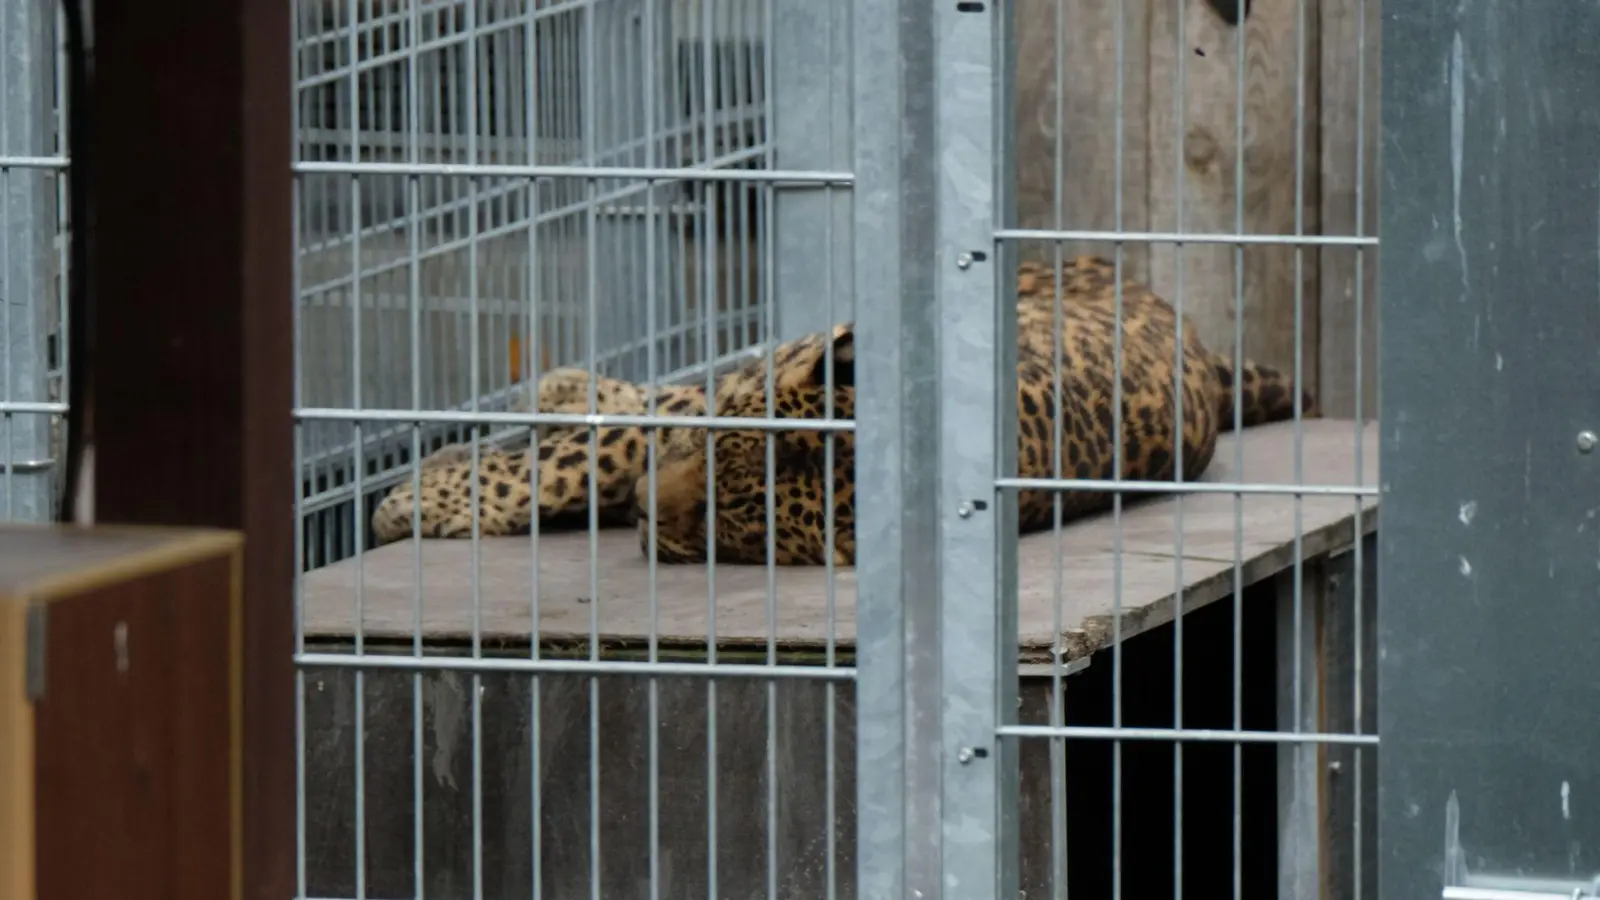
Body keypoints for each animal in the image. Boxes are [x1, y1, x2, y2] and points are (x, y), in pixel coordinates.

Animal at [371, 253, 1312, 563]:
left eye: (734, 518)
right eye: (718, 457)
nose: (642, 509)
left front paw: (412, 503)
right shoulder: (717, 403)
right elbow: (588, 452)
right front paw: (416, 500)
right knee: (657, 392)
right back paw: (566, 387)